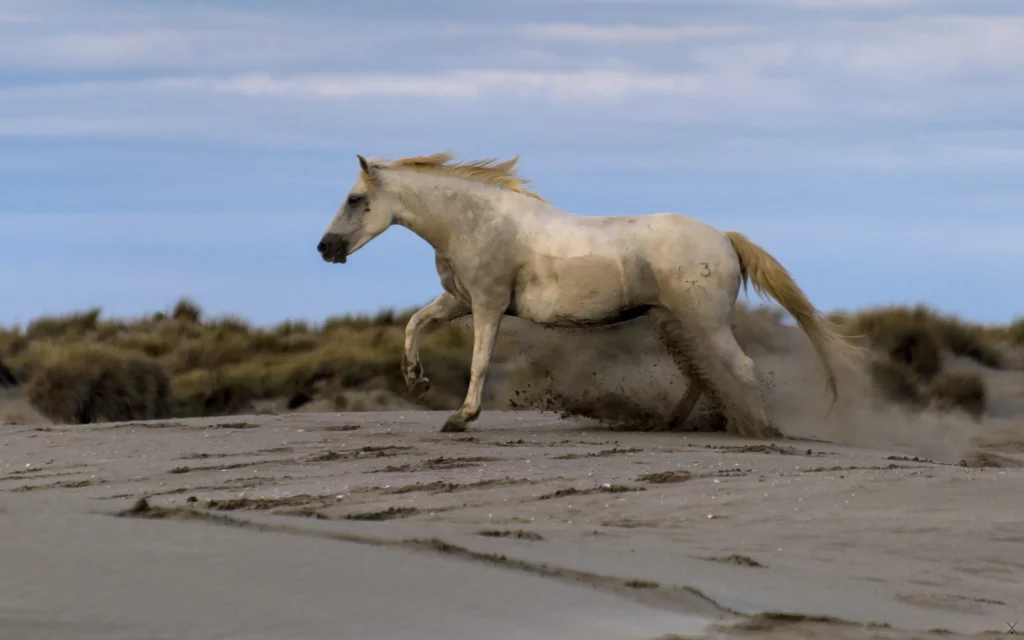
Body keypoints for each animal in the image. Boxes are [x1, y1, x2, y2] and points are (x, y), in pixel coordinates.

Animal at [317, 151, 855, 437]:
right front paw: (416, 382)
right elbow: (413, 325)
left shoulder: (488, 306)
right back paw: (671, 423)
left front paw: (460, 417)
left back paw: (760, 430)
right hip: (677, 322)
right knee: (703, 373)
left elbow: (479, 362)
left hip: (702, 321)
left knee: (737, 368)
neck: (476, 222)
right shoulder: (460, 301)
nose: (325, 248)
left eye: (355, 199)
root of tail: (724, 237)